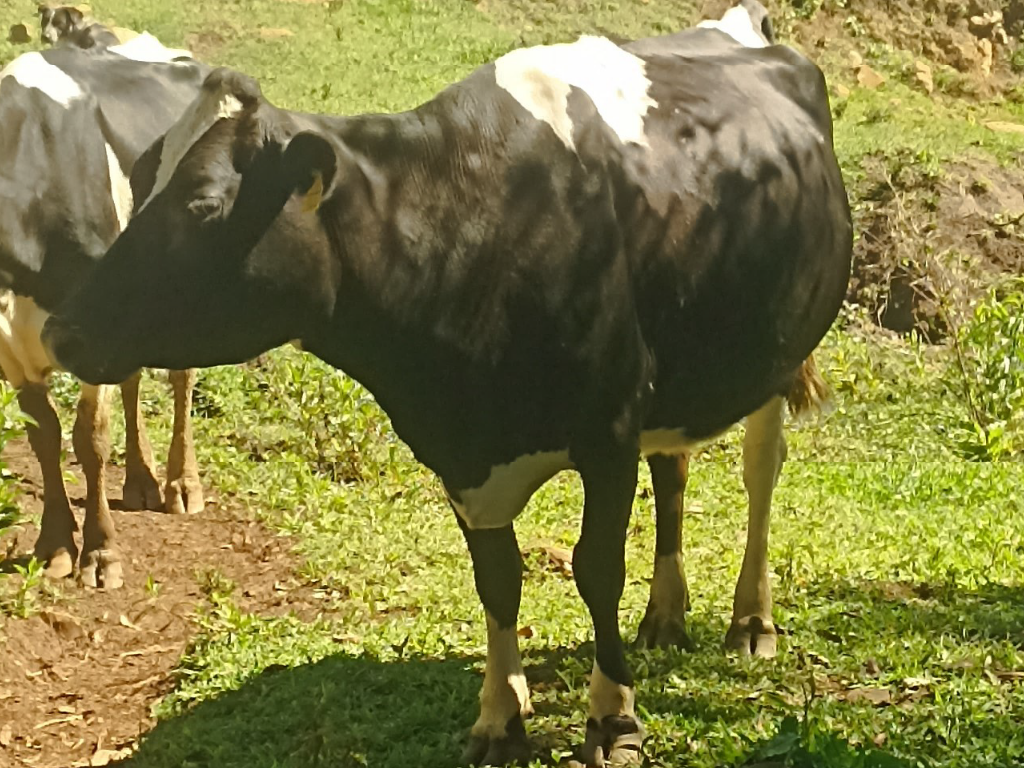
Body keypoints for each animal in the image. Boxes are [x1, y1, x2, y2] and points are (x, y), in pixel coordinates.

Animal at [0, 38, 210, 589]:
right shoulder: (12, 349)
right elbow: (43, 437)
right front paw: (55, 544)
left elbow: (90, 439)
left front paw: (101, 552)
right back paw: (140, 479)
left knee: (181, 376)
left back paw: (181, 483)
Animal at [43, 0, 852, 763]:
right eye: (140, 180)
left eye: (204, 204)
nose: (60, 332)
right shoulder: (459, 453)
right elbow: (498, 579)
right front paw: (500, 717)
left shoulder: (609, 431)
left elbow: (596, 570)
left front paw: (612, 718)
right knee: (675, 466)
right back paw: (664, 615)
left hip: (777, 353)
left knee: (759, 472)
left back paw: (751, 620)